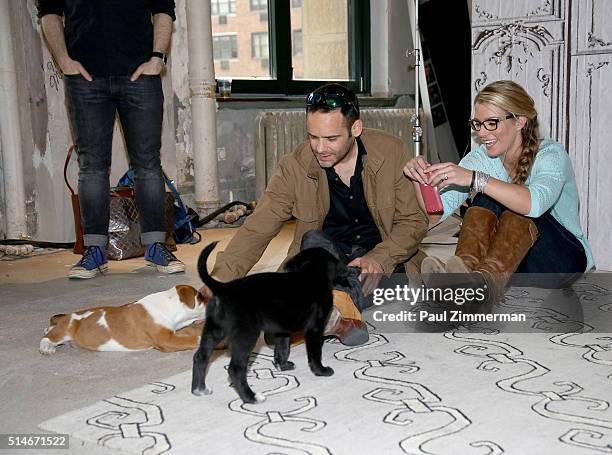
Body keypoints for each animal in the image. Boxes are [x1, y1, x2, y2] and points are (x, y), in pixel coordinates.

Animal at [40, 284, 209, 356]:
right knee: (48, 337)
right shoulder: (166, 340)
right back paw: (47, 347)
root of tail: (65, 317)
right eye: (201, 298)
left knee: (49, 329)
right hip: (67, 328)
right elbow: (192, 339)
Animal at [191, 240, 350, 404]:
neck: (311, 274)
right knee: (235, 369)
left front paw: (283, 366)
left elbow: (282, 348)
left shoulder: (282, 329)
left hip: (213, 330)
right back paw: (251, 397)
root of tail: (225, 287)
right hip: (246, 336)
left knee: (200, 357)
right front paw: (321, 370)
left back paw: (199, 389)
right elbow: (315, 352)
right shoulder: (315, 328)